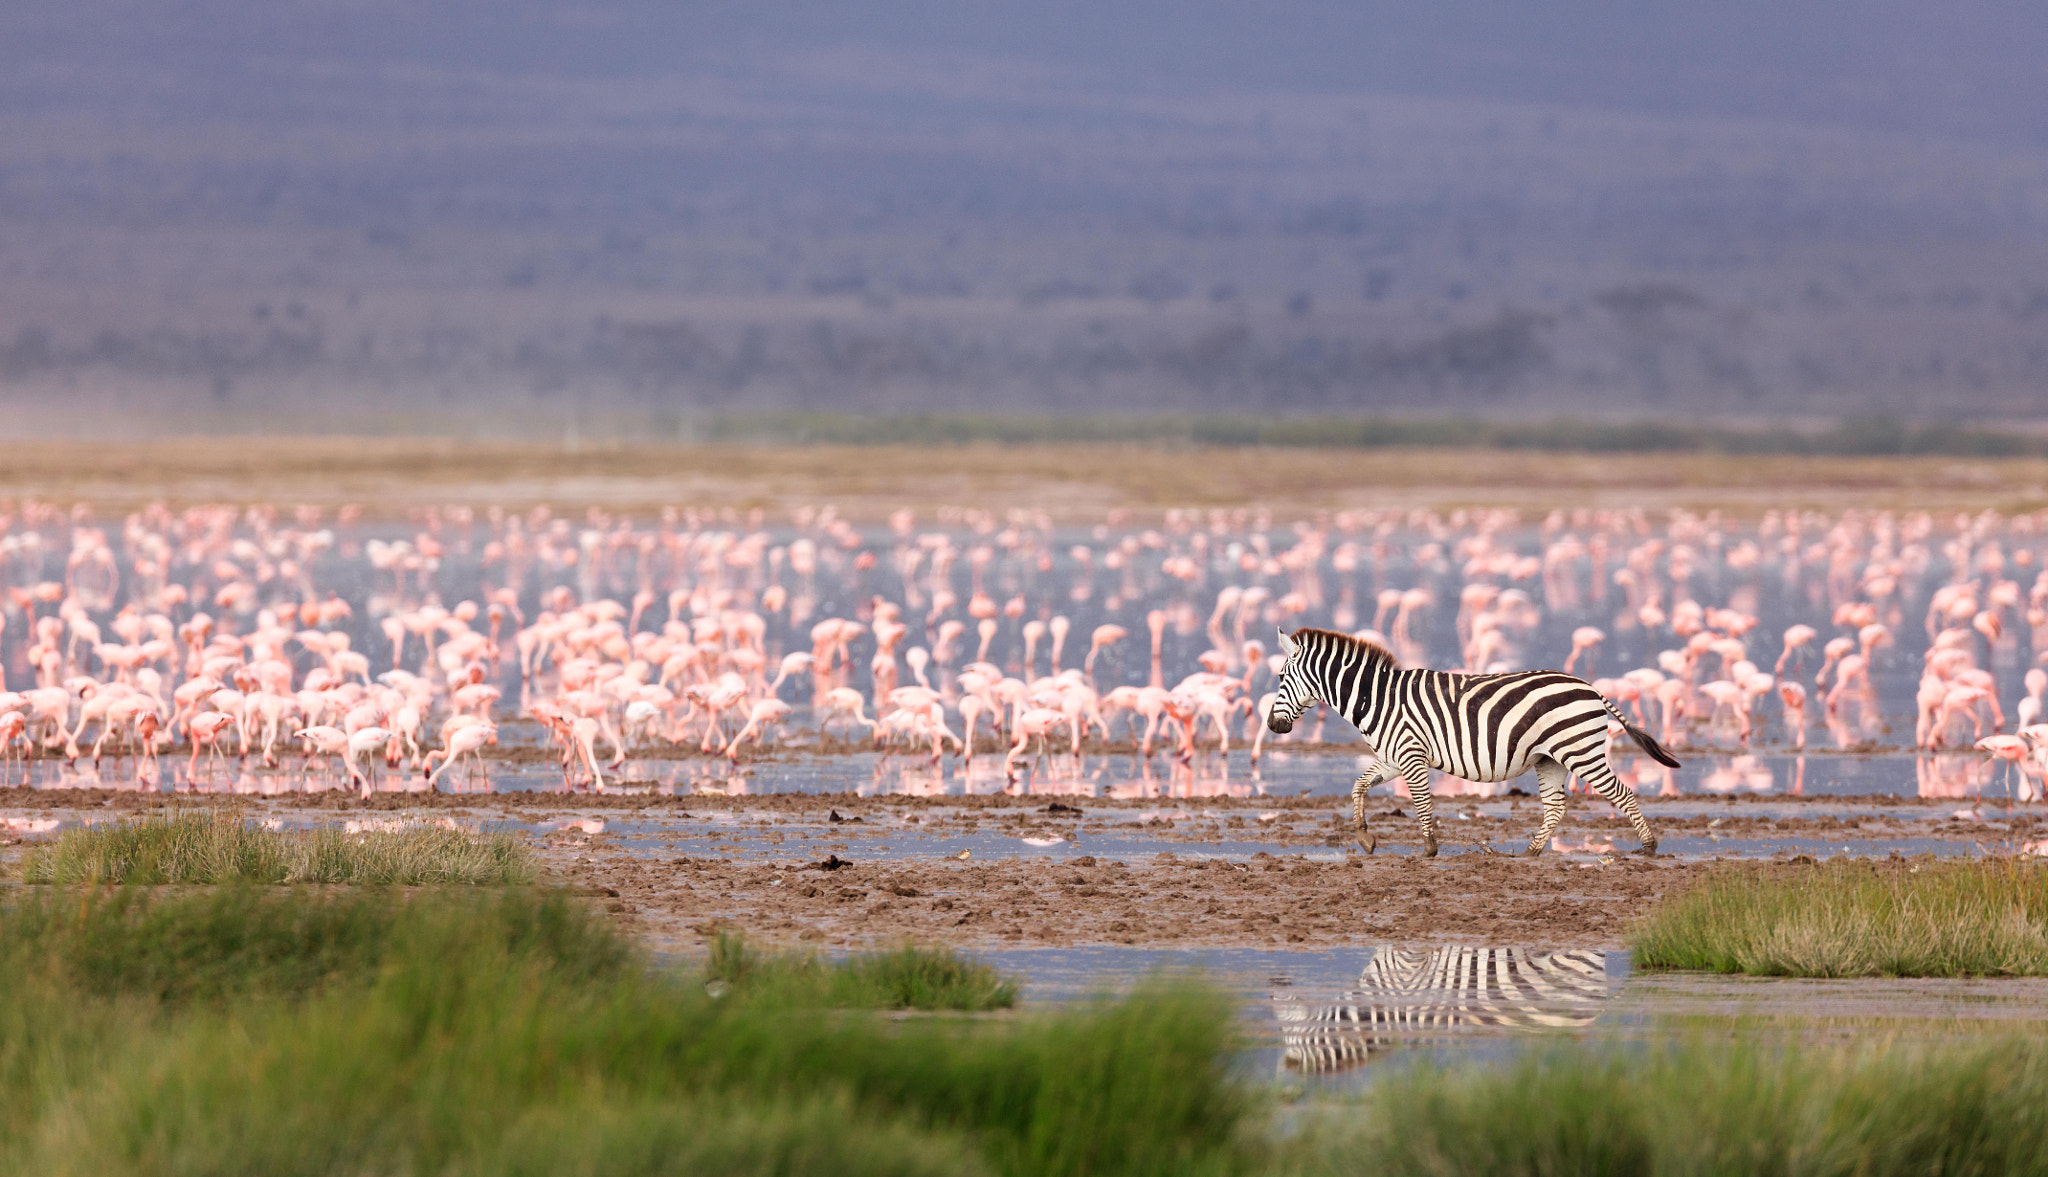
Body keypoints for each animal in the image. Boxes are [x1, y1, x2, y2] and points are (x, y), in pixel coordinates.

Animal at [1261, 626, 1679, 855]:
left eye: (1280, 677)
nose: (1272, 726)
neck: (1377, 698)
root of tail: (1591, 688)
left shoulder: (1411, 755)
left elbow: (1422, 802)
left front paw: (1430, 848)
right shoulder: (1394, 757)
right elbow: (1358, 785)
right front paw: (1365, 838)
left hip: (1580, 751)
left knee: (1622, 793)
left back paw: (1649, 847)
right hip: (1550, 759)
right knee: (1556, 807)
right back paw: (1529, 853)